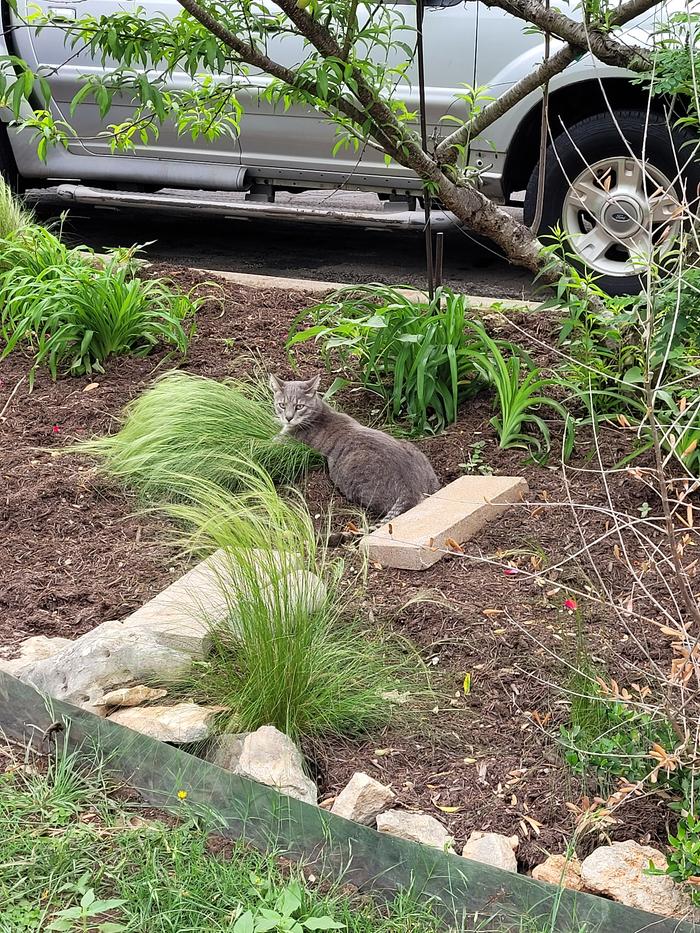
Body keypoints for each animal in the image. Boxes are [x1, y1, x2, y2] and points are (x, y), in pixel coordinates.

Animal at [270, 378, 440, 524]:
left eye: (299, 406)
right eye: (282, 405)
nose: (288, 418)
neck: (319, 412)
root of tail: (410, 488)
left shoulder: (282, 441)